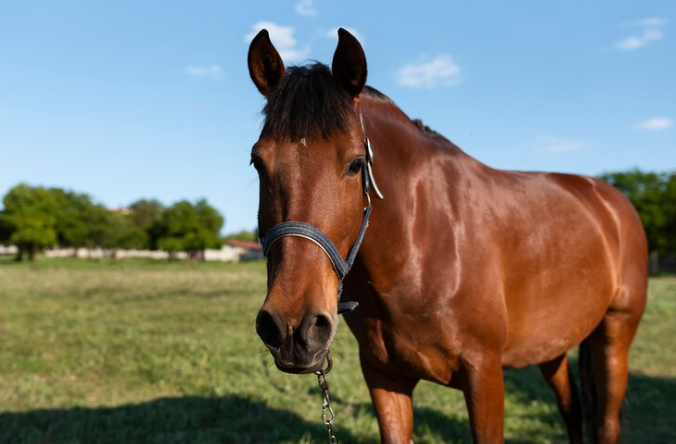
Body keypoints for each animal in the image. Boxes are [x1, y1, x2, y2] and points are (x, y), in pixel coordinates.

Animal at [246, 28, 648, 444]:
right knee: (572, 411)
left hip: (615, 334)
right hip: (552, 346)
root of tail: (611, 201)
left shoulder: (484, 374)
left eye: (356, 164)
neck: (422, 245)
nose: (294, 327)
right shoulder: (384, 376)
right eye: (258, 162)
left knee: (606, 422)